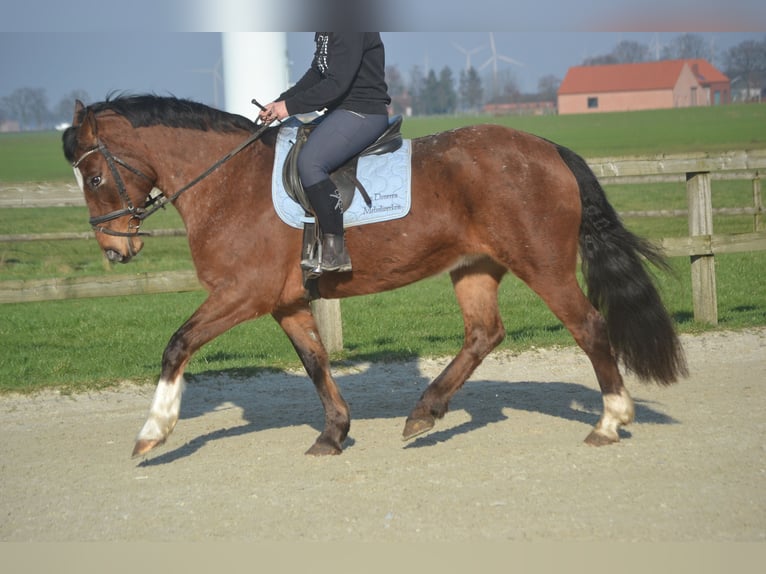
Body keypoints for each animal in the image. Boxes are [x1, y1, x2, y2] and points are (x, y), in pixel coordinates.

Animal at [63, 97, 688, 462]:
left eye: (93, 177)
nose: (115, 249)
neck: (230, 183)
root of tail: (547, 149)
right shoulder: (285, 301)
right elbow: (315, 362)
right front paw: (333, 433)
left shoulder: (242, 294)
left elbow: (177, 345)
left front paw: (153, 431)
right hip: (475, 267)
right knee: (484, 333)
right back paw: (424, 412)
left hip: (544, 266)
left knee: (590, 328)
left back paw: (610, 421)